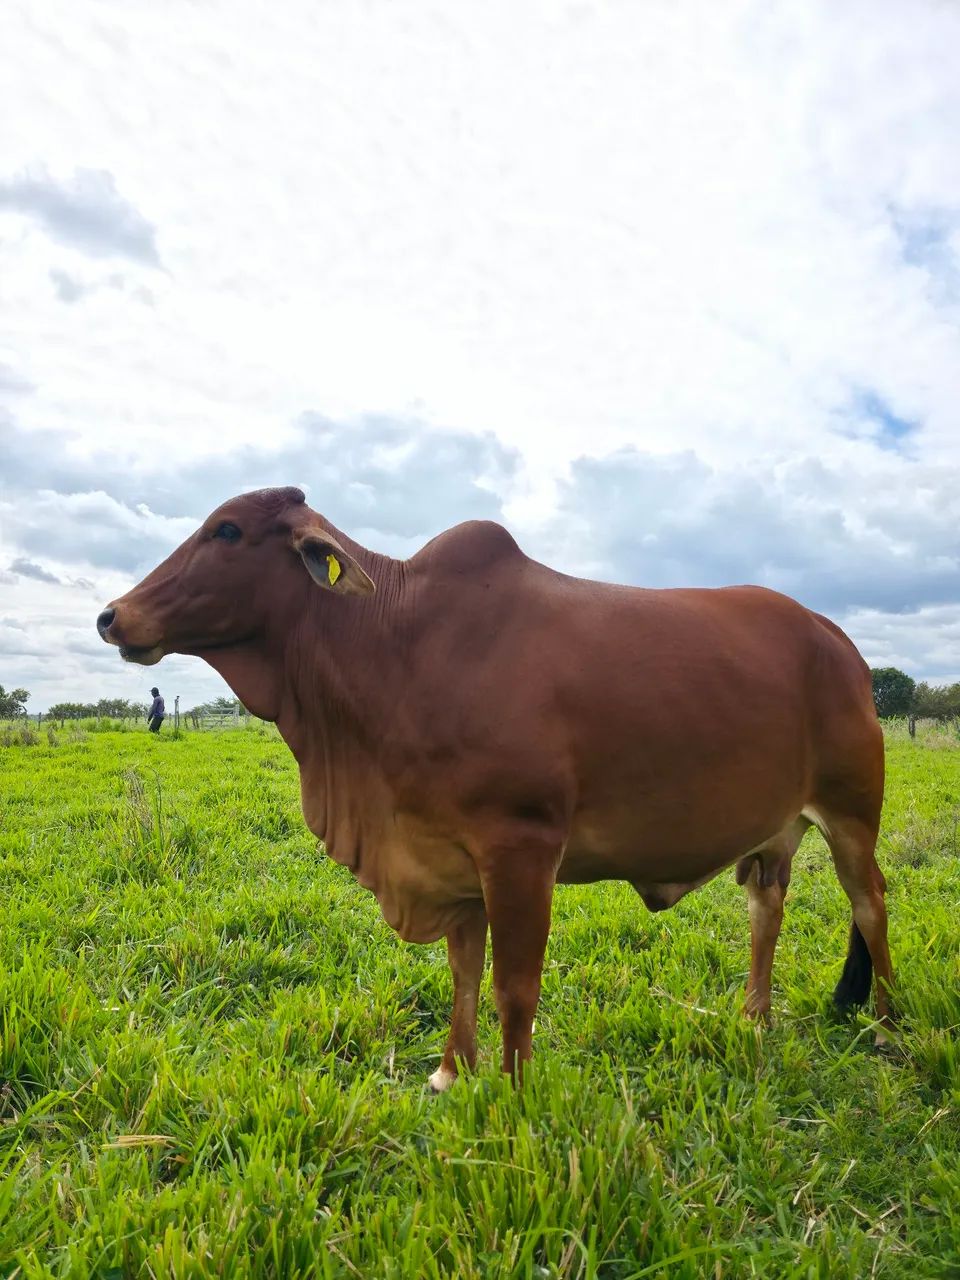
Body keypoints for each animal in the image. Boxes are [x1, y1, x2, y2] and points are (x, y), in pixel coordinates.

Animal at [97, 486, 893, 1087]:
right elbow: (462, 969)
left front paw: (512, 1092)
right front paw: (452, 1073)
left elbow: (514, 984)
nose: (112, 616)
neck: (394, 643)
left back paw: (886, 1027)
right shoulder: (450, 856)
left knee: (871, 905)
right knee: (767, 908)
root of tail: (838, 641)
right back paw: (754, 1019)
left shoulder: (520, 847)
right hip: (775, 831)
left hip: (853, 813)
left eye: (228, 530)